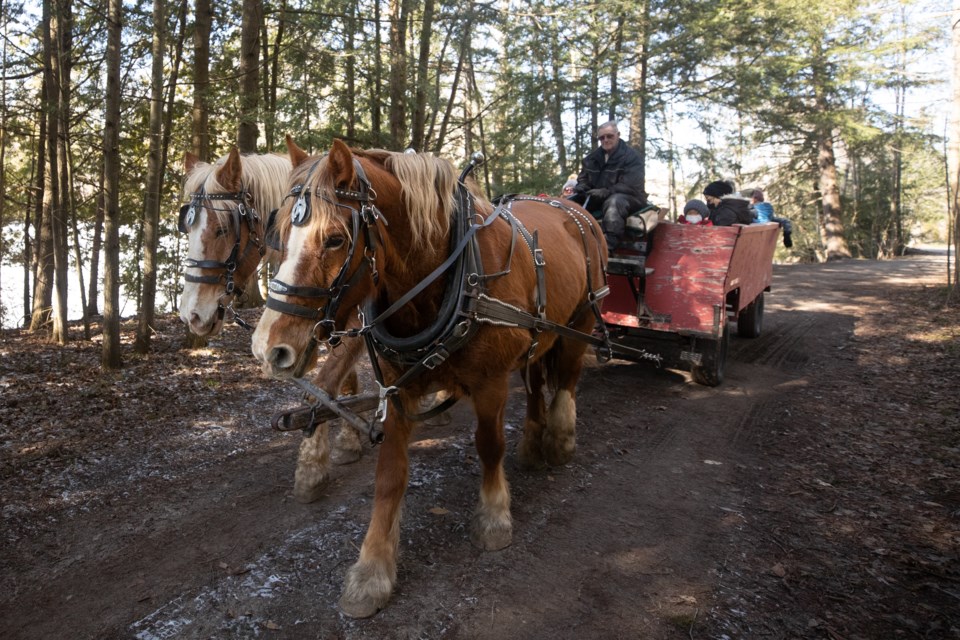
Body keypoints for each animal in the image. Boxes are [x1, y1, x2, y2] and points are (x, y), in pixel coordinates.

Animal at [174, 148, 366, 502]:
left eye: (222, 229)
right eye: (187, 229)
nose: (191, 315)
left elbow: (330, 380)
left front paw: (316, 462)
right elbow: (344, 379)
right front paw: (349, 437)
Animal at [249, 138, 608, 616]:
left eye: (335, 239)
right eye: (280, 235)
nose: (268, 347)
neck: (450, 275)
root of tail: (568, 205)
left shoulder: (491, 382)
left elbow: (489, 446)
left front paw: (494, 518)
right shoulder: (398, 389)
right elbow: (389, 476)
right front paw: (372, 571)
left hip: (581, 321)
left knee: (566, 378)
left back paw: (560, 438)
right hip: (540, 333)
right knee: (534, 381)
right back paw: (533, 441)